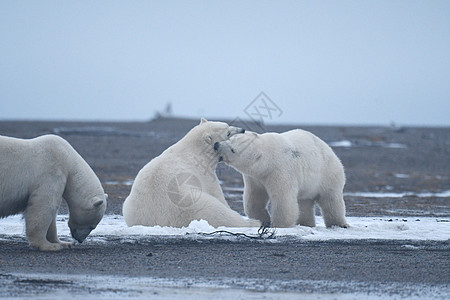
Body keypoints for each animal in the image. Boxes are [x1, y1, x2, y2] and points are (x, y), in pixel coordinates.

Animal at [123, 118, 260, 229]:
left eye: (227, 124)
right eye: (227, 132)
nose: (242, 130)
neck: (194, 151)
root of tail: (155, 221)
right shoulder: (204, 174)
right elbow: (217, 193)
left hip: (128, 206)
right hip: (190, 204)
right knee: (218, 212)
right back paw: (253, 222)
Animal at [214, 130, 348, 229]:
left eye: (233, 150)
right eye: (229, 139)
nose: (216, 145)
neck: (267, 159)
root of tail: (329, 149)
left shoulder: (280, 171)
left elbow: (283, 198)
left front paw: (279, 225)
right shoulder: (255, 178)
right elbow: (254, 199)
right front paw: (263, 220)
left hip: (328, 174)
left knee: (331, 200)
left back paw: (339, 224)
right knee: (304, 202)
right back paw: (306, 223)